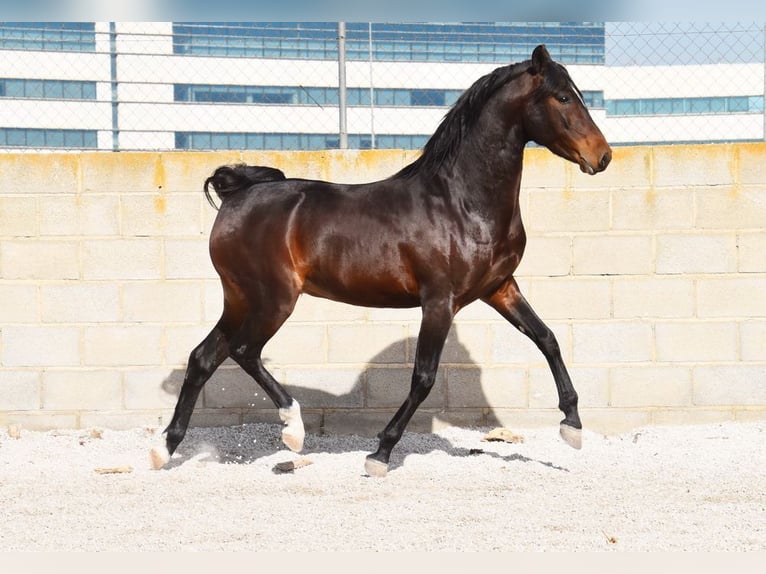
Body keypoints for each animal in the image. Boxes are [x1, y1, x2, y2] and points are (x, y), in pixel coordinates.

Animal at [153, 44, 616, 476]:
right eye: (562, 97)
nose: (603, 156)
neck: (462, 202)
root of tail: (238, 195)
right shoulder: (439, 301)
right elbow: (424, 377)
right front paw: (380, 452)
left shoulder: (500, 288)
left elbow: (547, 338)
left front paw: (572, 426)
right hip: (274, 299)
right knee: (244, 351)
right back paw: (293, 429)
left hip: (240, 299)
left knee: (204, 357)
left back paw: (165, 449)